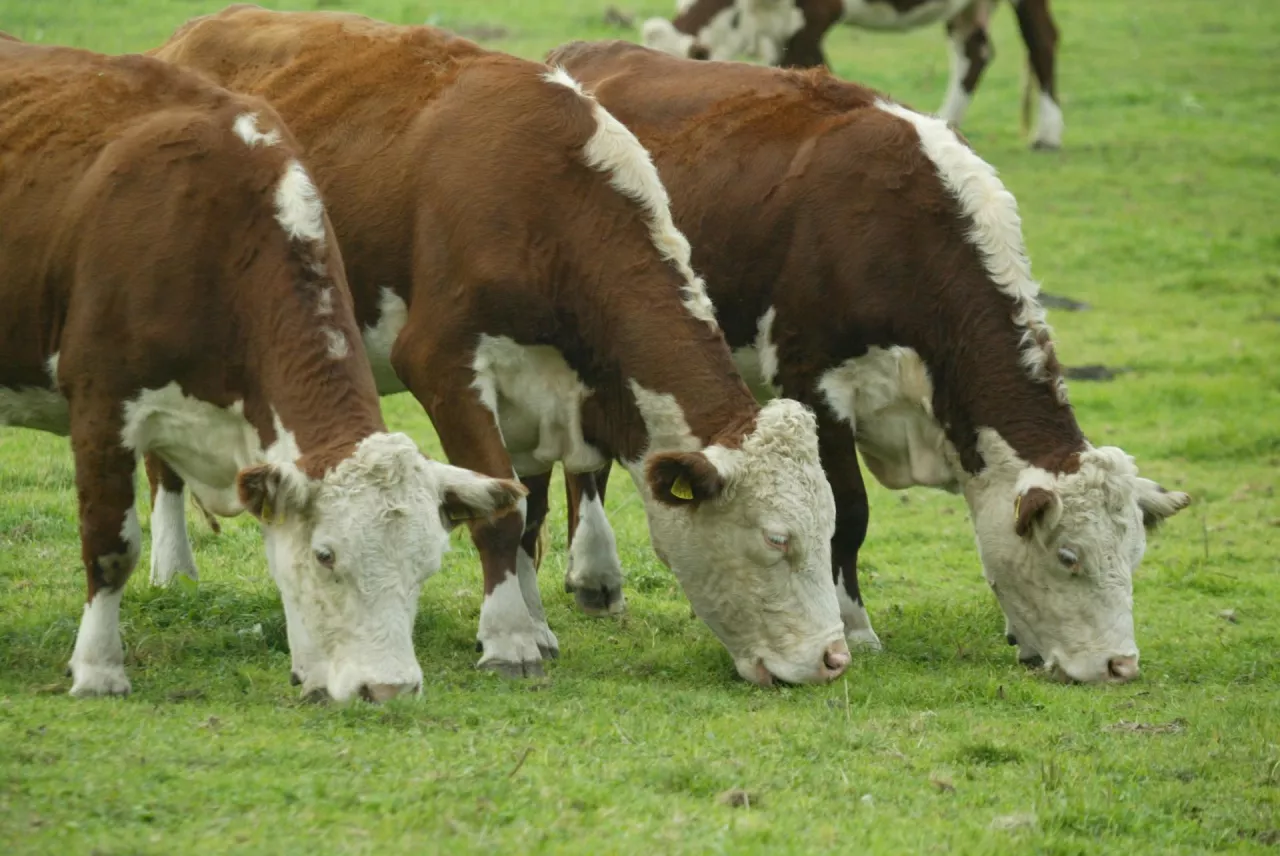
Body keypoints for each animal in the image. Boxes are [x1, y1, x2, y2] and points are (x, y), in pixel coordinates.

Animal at [0, 35, 529, 701]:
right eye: (328, 555)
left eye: (427, 564)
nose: (389, 688)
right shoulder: (100, 402)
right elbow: (109, 545)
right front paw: (98, 670)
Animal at [147, 6, 849, 685]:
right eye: (777, 539)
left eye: (829, 530)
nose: (833, 658)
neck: (545, 202)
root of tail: (187, 36)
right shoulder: (442, 364)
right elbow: (500, 515)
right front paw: (510, 641)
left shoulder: (542, 391)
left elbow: (527, 507)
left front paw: (533, 624)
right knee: (160, 462)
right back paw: (172, 576)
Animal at [542, 38, 1187, 680]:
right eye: (1069, 556)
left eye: (1133, 557)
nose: (1120, 665)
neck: (905, 239)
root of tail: (583, 50)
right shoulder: (815, 383)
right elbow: (848, 513)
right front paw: (855, 625)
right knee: (584, 467)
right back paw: (596, 575)